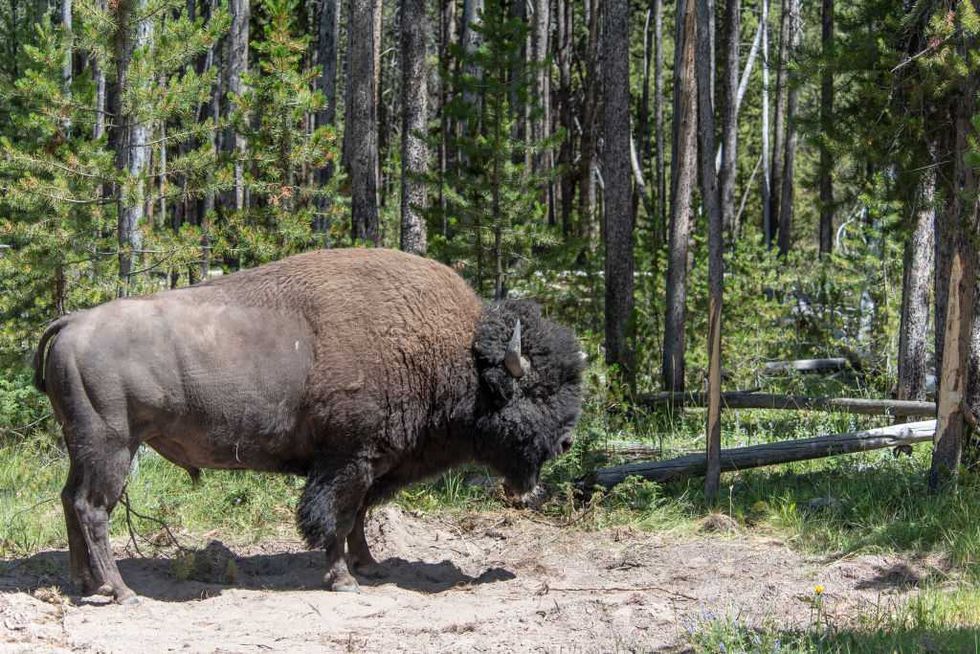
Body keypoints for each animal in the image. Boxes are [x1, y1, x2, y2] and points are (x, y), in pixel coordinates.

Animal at [33, 248, 585, 603]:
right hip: (112, 447)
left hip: (83, 447)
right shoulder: (346, 460)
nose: (564, 441)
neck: (455, 354)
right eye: (536, 392)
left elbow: (358, 516)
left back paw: (84, 585)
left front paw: (369, 565)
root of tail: (71, 322)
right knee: (93, 508)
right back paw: (120, 591)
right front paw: (343, 579)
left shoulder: (370, 464)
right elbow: (335, 518)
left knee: (69, 500)